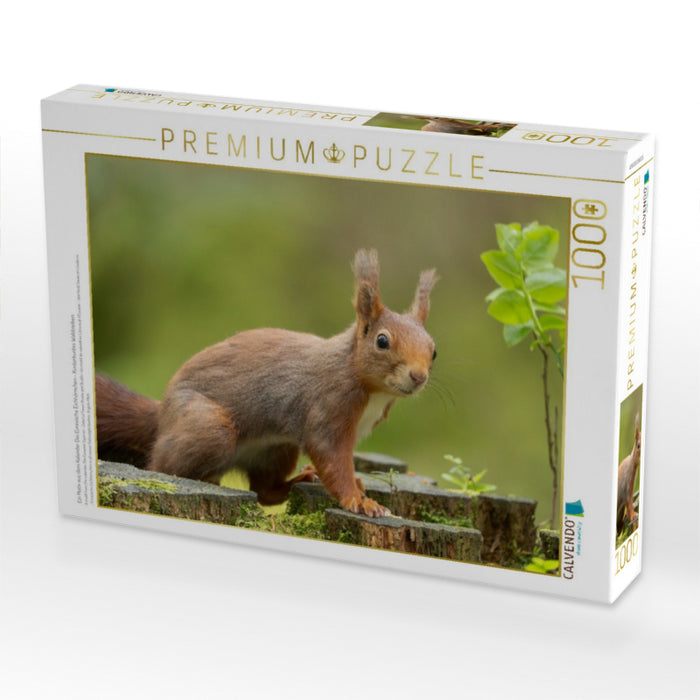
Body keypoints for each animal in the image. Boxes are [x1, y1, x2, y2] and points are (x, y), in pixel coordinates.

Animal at [95, 249, 438, 518]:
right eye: (382, 341)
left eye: (434, 351)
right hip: (207, 426)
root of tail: (162, 415)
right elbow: (332, 456)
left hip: (276, 448)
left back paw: (298, 481)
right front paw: (359, 500)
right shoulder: (329, 404)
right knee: (161, 465)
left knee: (264, 491)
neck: (368, 385)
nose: (419, 376)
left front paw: (358, 486)